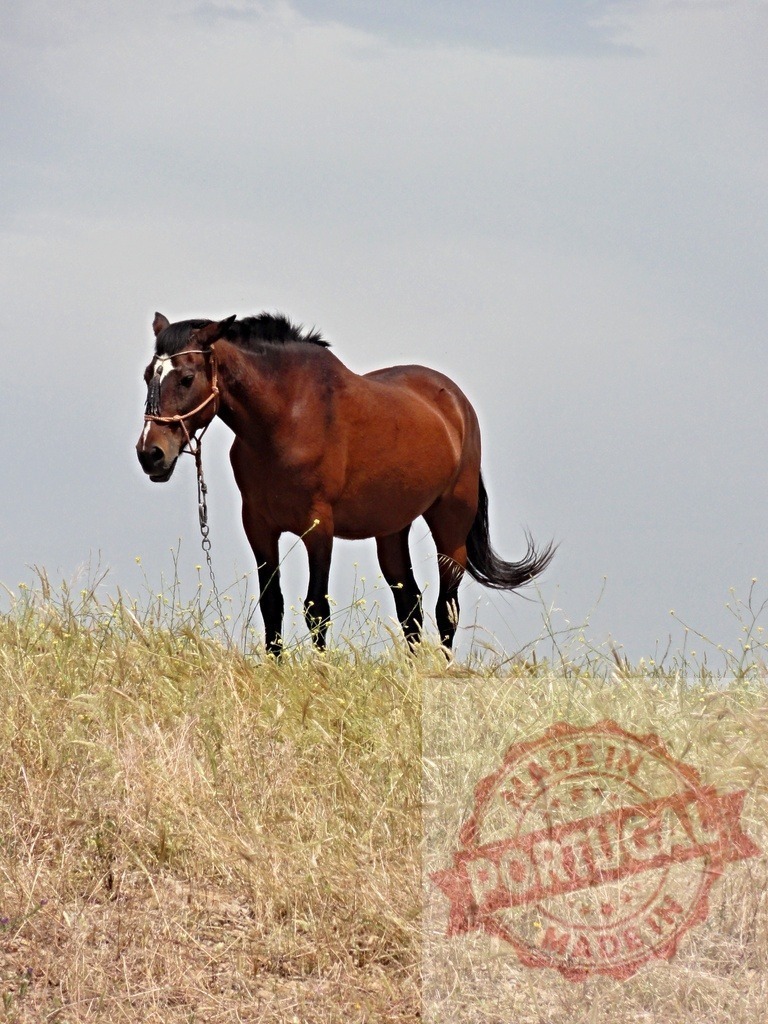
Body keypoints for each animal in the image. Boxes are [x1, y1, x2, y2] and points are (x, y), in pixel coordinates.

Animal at [136, 312, 554, 656]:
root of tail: (457, 404)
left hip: (451, 525)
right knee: (411, 607)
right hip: (392, 530)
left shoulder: (318, 527)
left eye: (187, 377)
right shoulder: (258, 526)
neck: (284, 417)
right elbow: (272, 606)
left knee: (445, 609)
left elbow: (316, 609)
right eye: (147, 375)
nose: (150, 453)